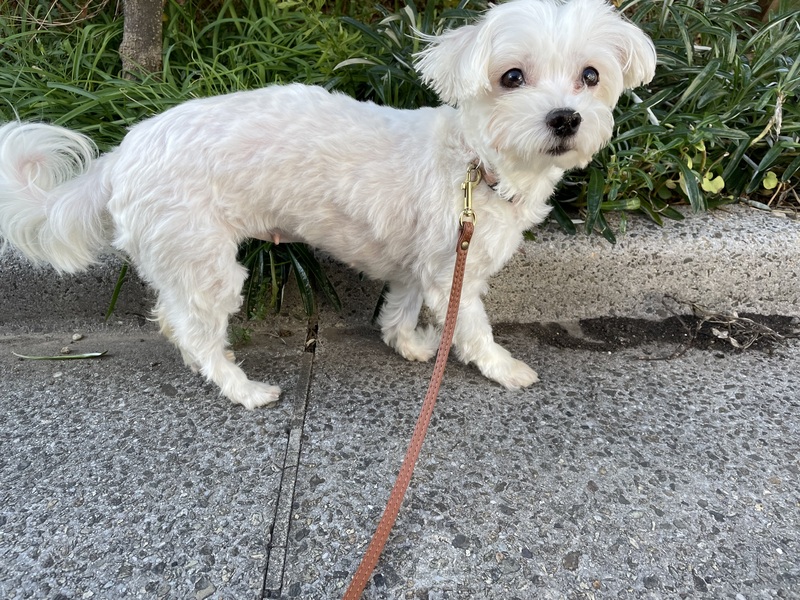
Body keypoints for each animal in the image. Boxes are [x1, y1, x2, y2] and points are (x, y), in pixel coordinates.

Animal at [0, 0, 655, 409]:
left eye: (591, 76)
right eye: (512, 77)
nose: (565, 118)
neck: (475, 163)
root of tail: (123, 153)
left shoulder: (421, 263)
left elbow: (400, 310)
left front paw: (409, 345)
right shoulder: (456, 273)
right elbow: (470, 328)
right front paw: (502, 367)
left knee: (172, 317)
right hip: (205, 262)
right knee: (195, 330)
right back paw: (243, 389)